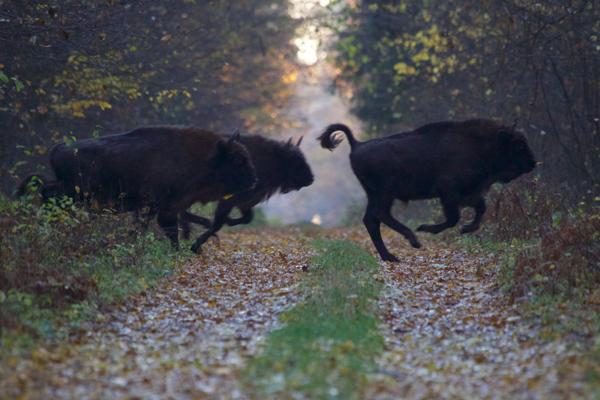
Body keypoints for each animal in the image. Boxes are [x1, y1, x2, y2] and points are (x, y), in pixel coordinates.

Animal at [17, 126, 256, 248]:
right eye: (237, 159)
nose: (254, 180)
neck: (205, 157)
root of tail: (58, 149)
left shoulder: (168, 207)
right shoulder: (163, 206)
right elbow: (167, 229)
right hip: (72, 193)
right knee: (46, 194)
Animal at [316, 119, 536, 262]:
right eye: (518, 145)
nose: (532, 163)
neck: (481, 144)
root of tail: (356, 144)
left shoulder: (469, 194)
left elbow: (480, 208)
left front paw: (466, 229)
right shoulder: (449, 193)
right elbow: (453, 218)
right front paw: (425, 228)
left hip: (375, 194)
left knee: (372, 219)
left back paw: (390, 256)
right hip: (385, 193)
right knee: (380, 215)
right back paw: (414, 241)